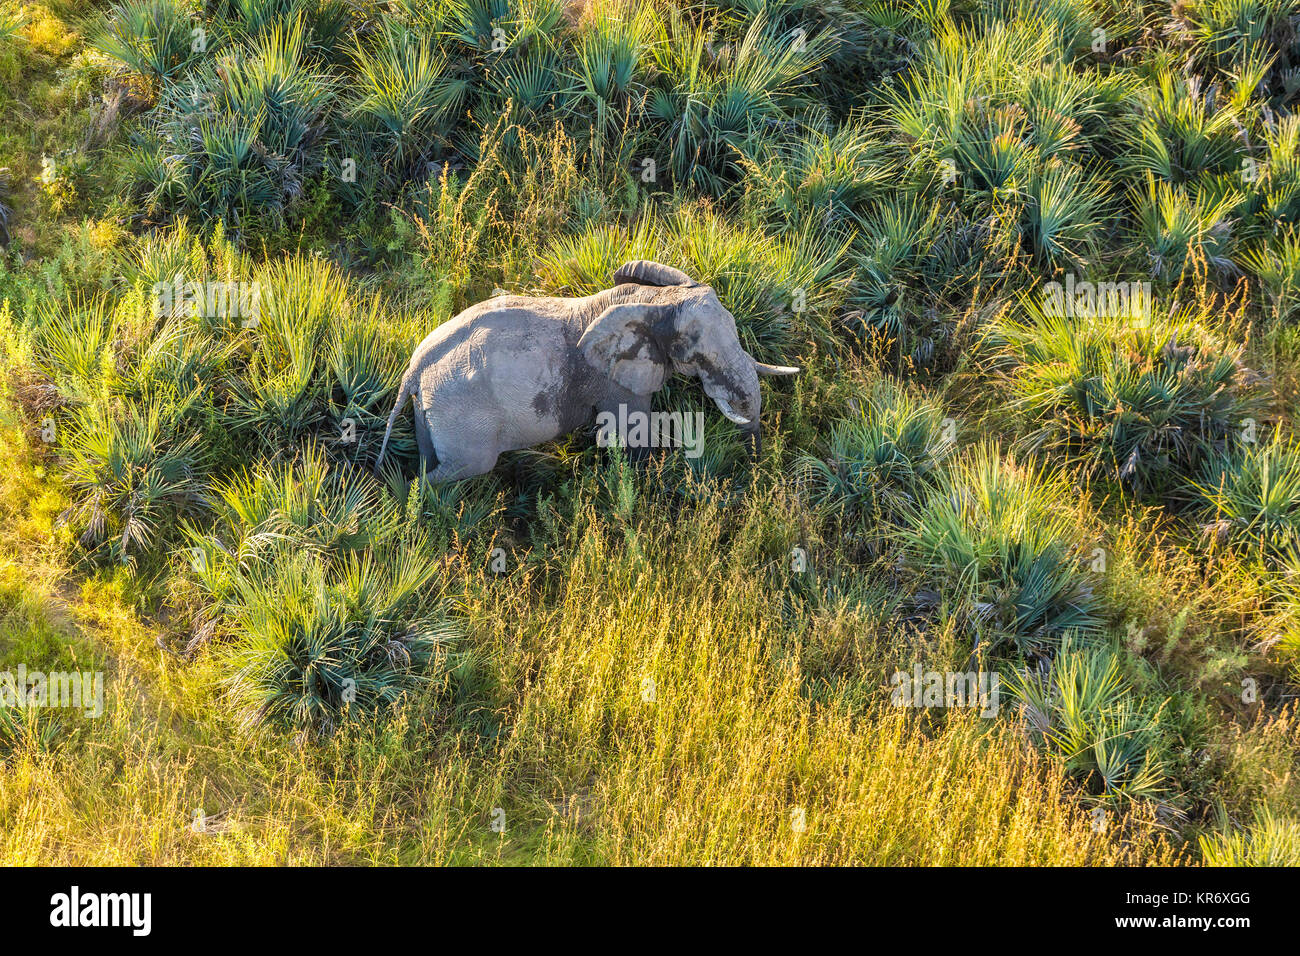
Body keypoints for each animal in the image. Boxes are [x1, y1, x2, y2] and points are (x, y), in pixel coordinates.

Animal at [374, 260, 800, 481]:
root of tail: (414, 370)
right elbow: (634, 435)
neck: (653, 300)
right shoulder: (615, 382)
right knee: (465, 468)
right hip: (462, 419)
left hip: (431, 410)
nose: (757, 464)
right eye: (697, 355)